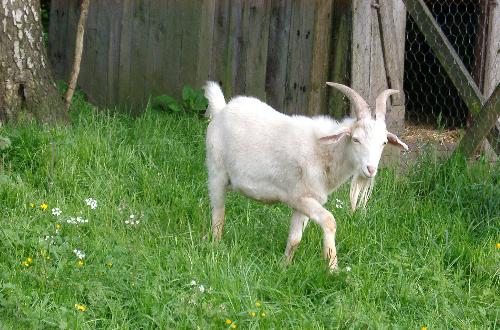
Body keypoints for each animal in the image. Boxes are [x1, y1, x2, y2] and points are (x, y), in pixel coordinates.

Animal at [205, 82, 408, 270]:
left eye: (383, 143)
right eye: (356, 139)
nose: (370, 169)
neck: (324, 152)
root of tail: (222, 108)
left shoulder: (305, 202)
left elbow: (295, 238)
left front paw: (284, 266)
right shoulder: (298, 197)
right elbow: (329, 221)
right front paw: (333, 268)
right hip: (216, 172)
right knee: (218, 215)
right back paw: (216, 248)